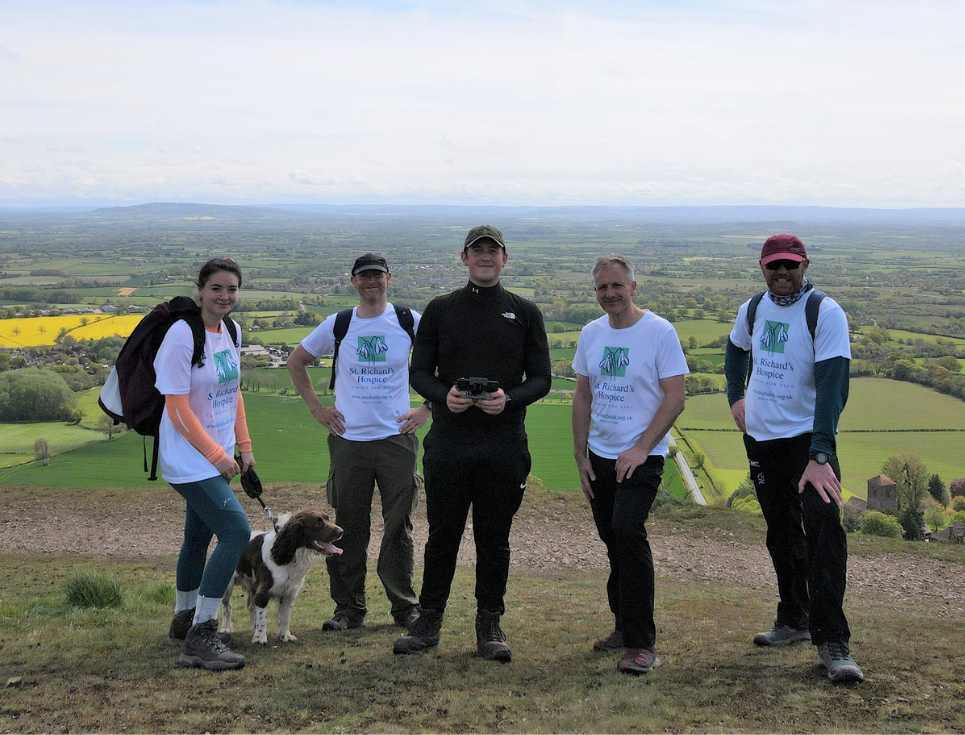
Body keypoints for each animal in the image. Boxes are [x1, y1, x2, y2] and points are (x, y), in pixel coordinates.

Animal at [218, 512, 342, 644]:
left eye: (327, 518)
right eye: (317, 523)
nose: (341, 531)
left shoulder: (289, 594)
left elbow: (285, 617)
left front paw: (285, 636)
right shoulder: (263, 593)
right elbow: (263, 618)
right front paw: (260, 638)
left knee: (250, 607)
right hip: (227, 586)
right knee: (227, 606)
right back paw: (225, 628)